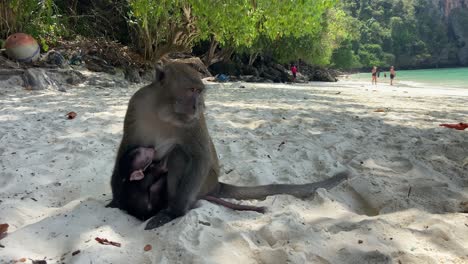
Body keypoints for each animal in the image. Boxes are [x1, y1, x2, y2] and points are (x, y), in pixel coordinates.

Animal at [108, 62, 346, 229]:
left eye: (199, 92)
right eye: (191, 90)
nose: (198, 106)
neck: (163, 111)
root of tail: (216, 184)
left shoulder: (195, 121)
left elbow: (200, 157)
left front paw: (175, 213)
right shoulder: (137, 103)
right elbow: (128, 145)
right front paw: (117, 198)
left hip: (204, 183)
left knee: (179, 156)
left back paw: (175, 208)